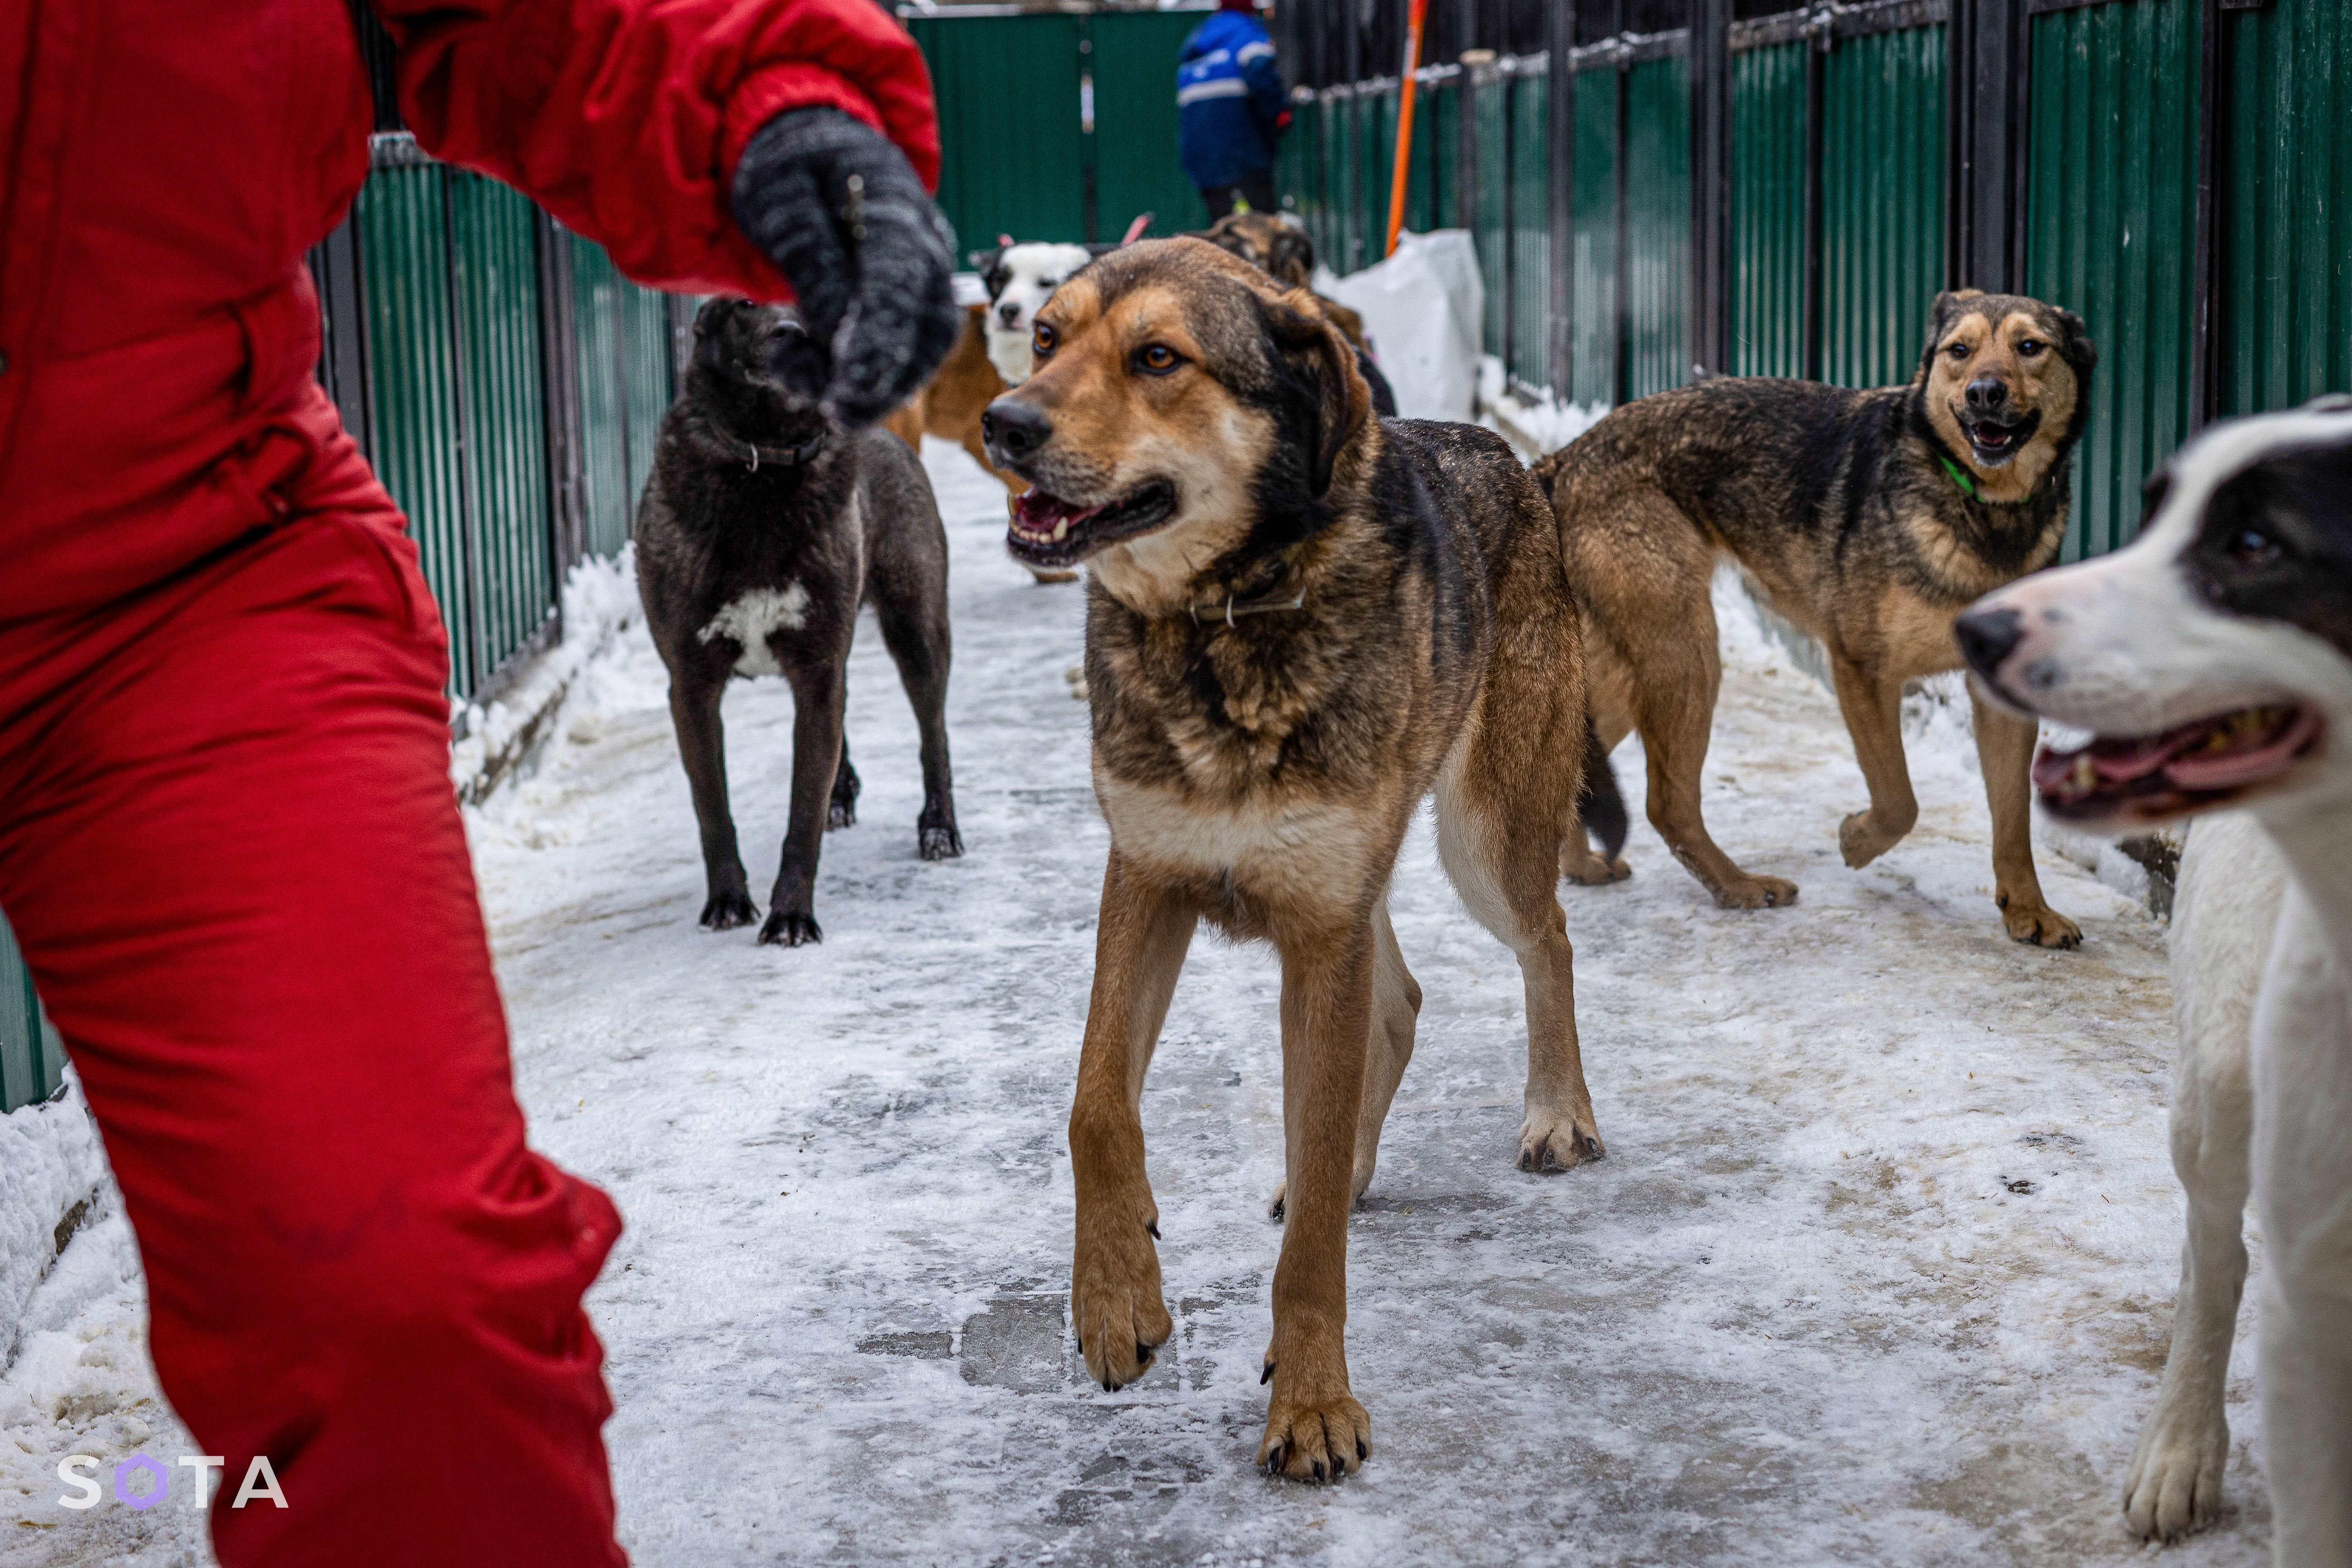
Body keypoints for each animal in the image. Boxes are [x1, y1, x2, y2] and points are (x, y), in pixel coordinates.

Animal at [630, 303, 960, 950]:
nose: (793, 335)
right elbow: (712, 808)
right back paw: (845, 794)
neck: (763, 458)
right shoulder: (693, 688)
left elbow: (800, 813)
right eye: (743, 303)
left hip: (917, 633)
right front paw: (728, 901)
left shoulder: (815, 671)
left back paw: (938, 829)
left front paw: (790, 916)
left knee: (933, 736)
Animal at [974, 242, 1618, 1485]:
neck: (1220, 623)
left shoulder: (1317, 933)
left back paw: (1556, 1115)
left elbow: (1313, 1228)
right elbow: (1094, 1102)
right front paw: (1115, 1299)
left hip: (1478, 840)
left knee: (1549, 940)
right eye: (1046, 337)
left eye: (1157, 357)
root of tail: (1517, 465)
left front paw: (1312, 1404)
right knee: (1401, 1002)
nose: (1001, 423)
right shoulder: (1147, 879)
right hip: (1361, 882)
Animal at [1534, 287, 2107, 945]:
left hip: (1636, 666)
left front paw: (2028, 909)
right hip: (1685, 651)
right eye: (1959, 351)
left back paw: (1579, 866)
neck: (1982, 509)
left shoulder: (2000, 697)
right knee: (1666, 803)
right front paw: (1857, 841)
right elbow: (1899, 800)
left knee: (1580, 760)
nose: (1984, 392)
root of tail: (1566, 458)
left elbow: (2013, 820)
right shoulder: (1860, 669)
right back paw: (1738, 886)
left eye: (2030, 347)